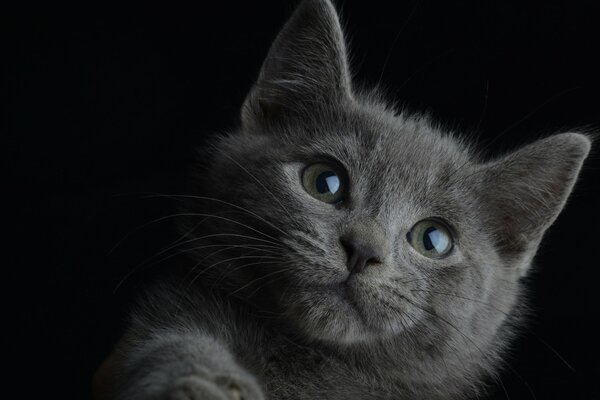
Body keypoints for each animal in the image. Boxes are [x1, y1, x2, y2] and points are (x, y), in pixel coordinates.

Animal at [102, 0, 592, 400]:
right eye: (325, 182)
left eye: (433, 239)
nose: (362, 250)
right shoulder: (170, 314)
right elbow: (175, 343)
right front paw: (204, 385)